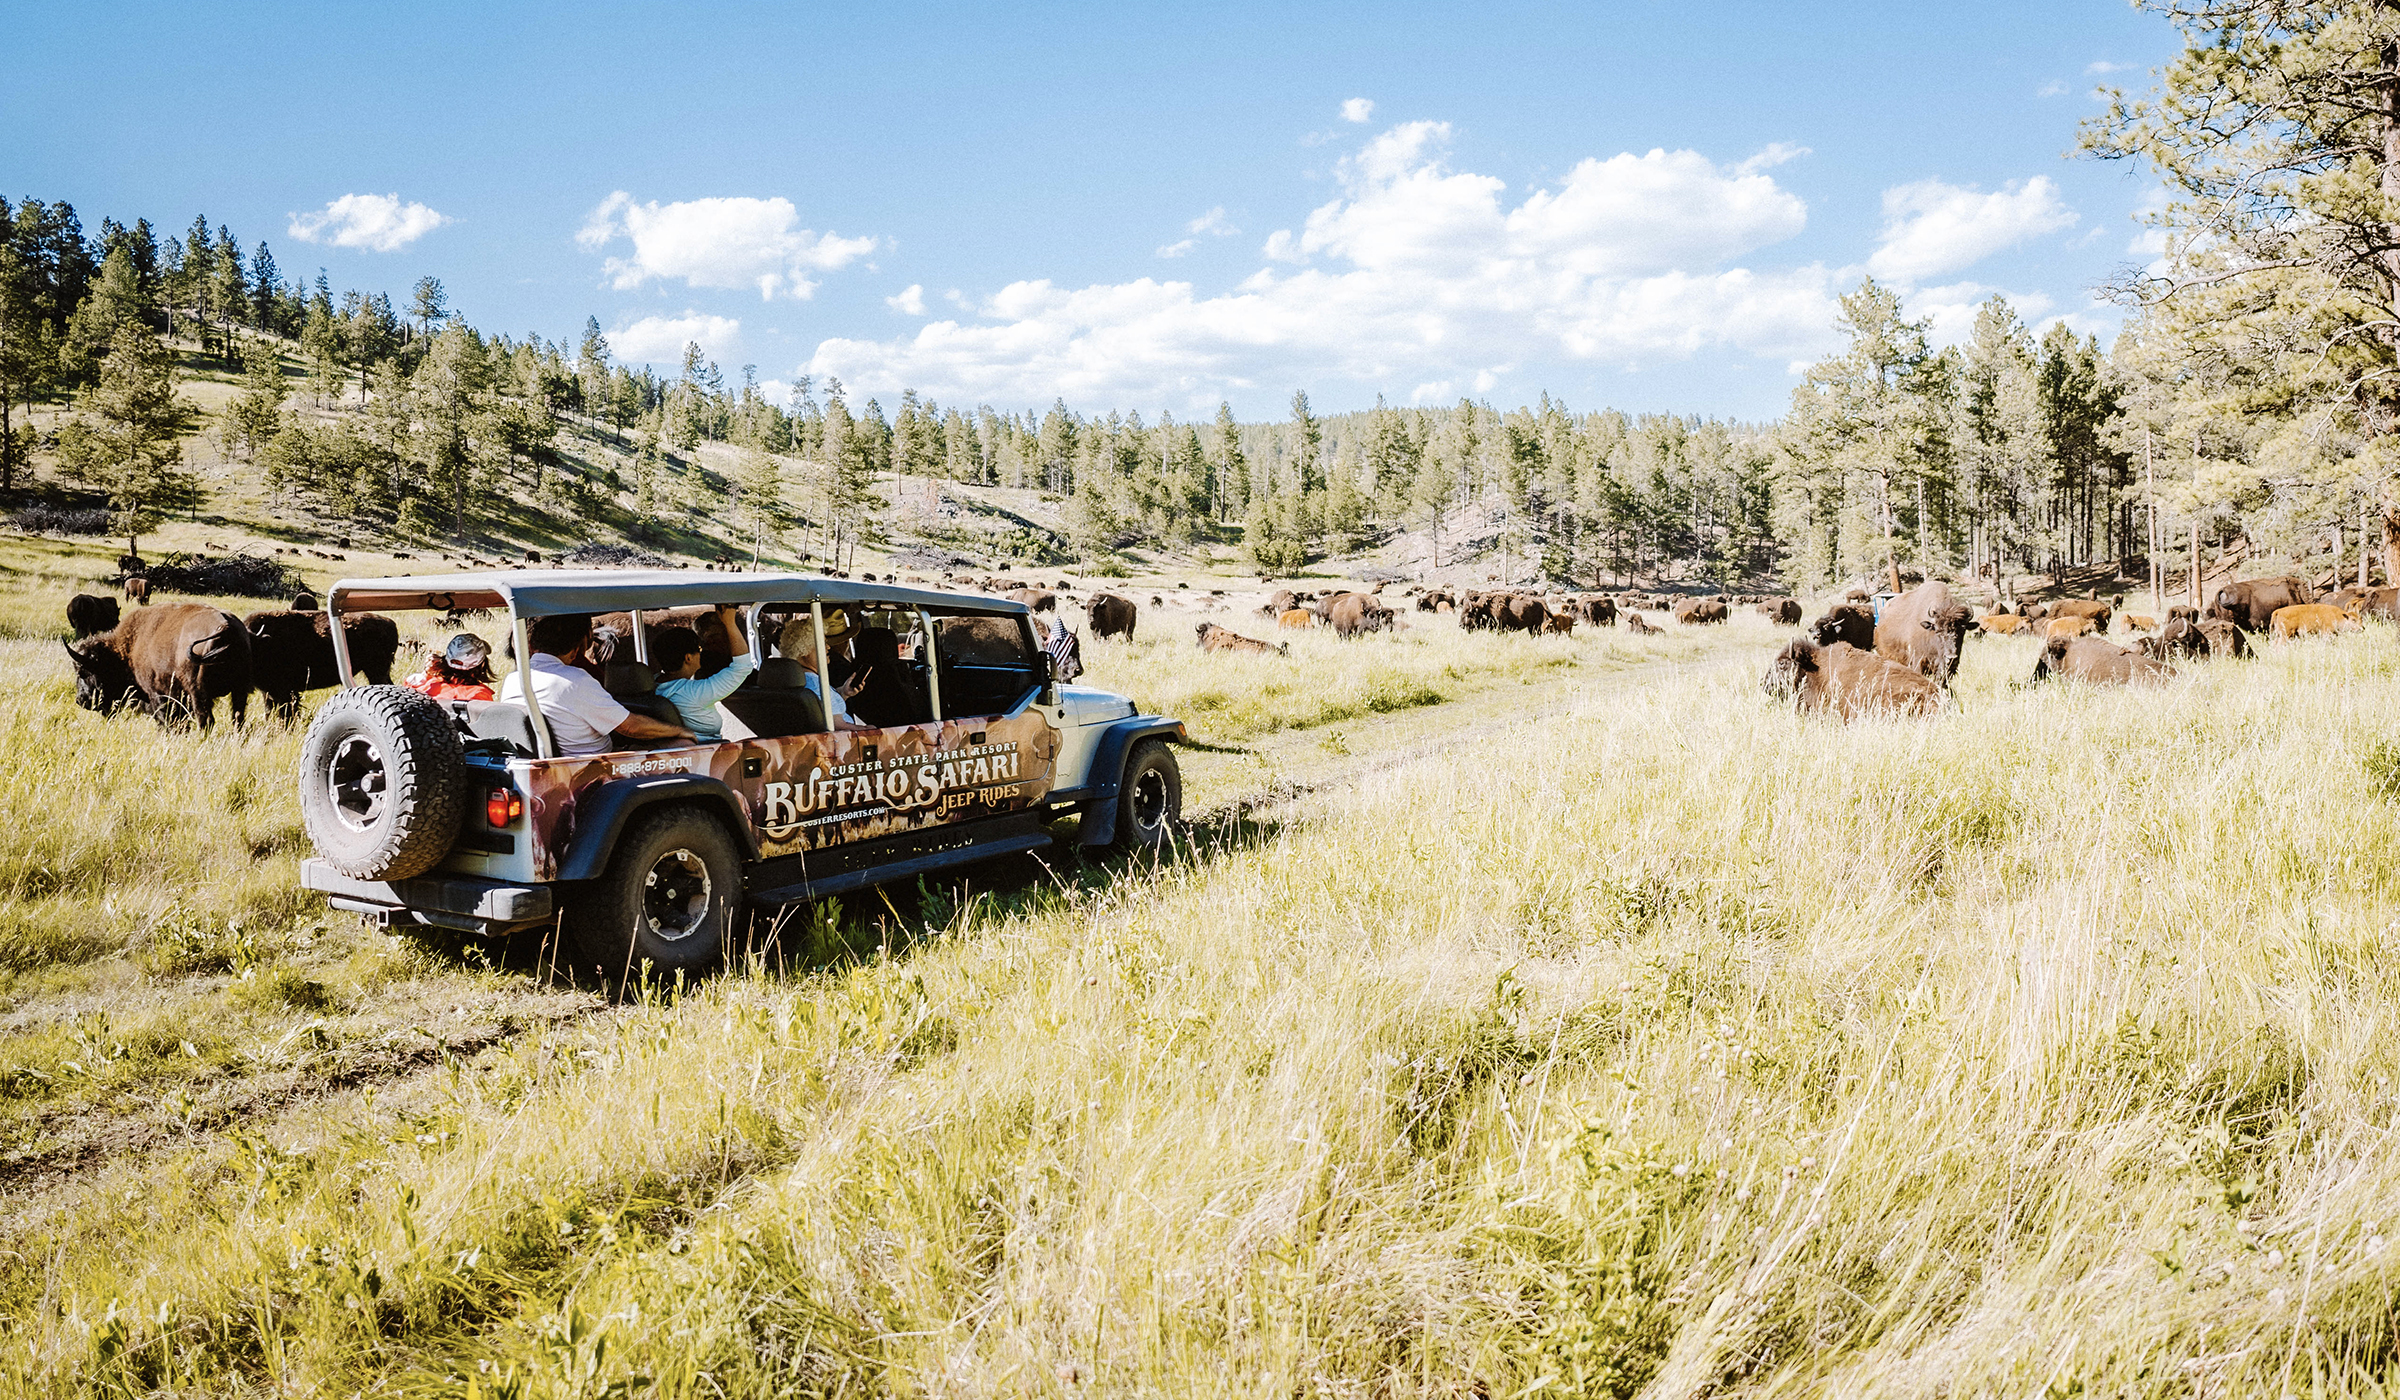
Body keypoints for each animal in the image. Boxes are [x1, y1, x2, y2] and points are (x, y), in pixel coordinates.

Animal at [62, 602, 252, 730]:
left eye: (82, 672)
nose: (81, 700)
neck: (130, 647)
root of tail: (225, 627)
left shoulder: (158, 693)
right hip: (239, 690)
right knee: (237, 718)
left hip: (198, 691)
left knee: (205, 719)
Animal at [244, 614, 403, 725]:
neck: (264, 644)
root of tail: (391, 623)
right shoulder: (269, 692)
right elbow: (270, 710)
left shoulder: (285, 691)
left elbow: (287, 712)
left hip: (376, 671)